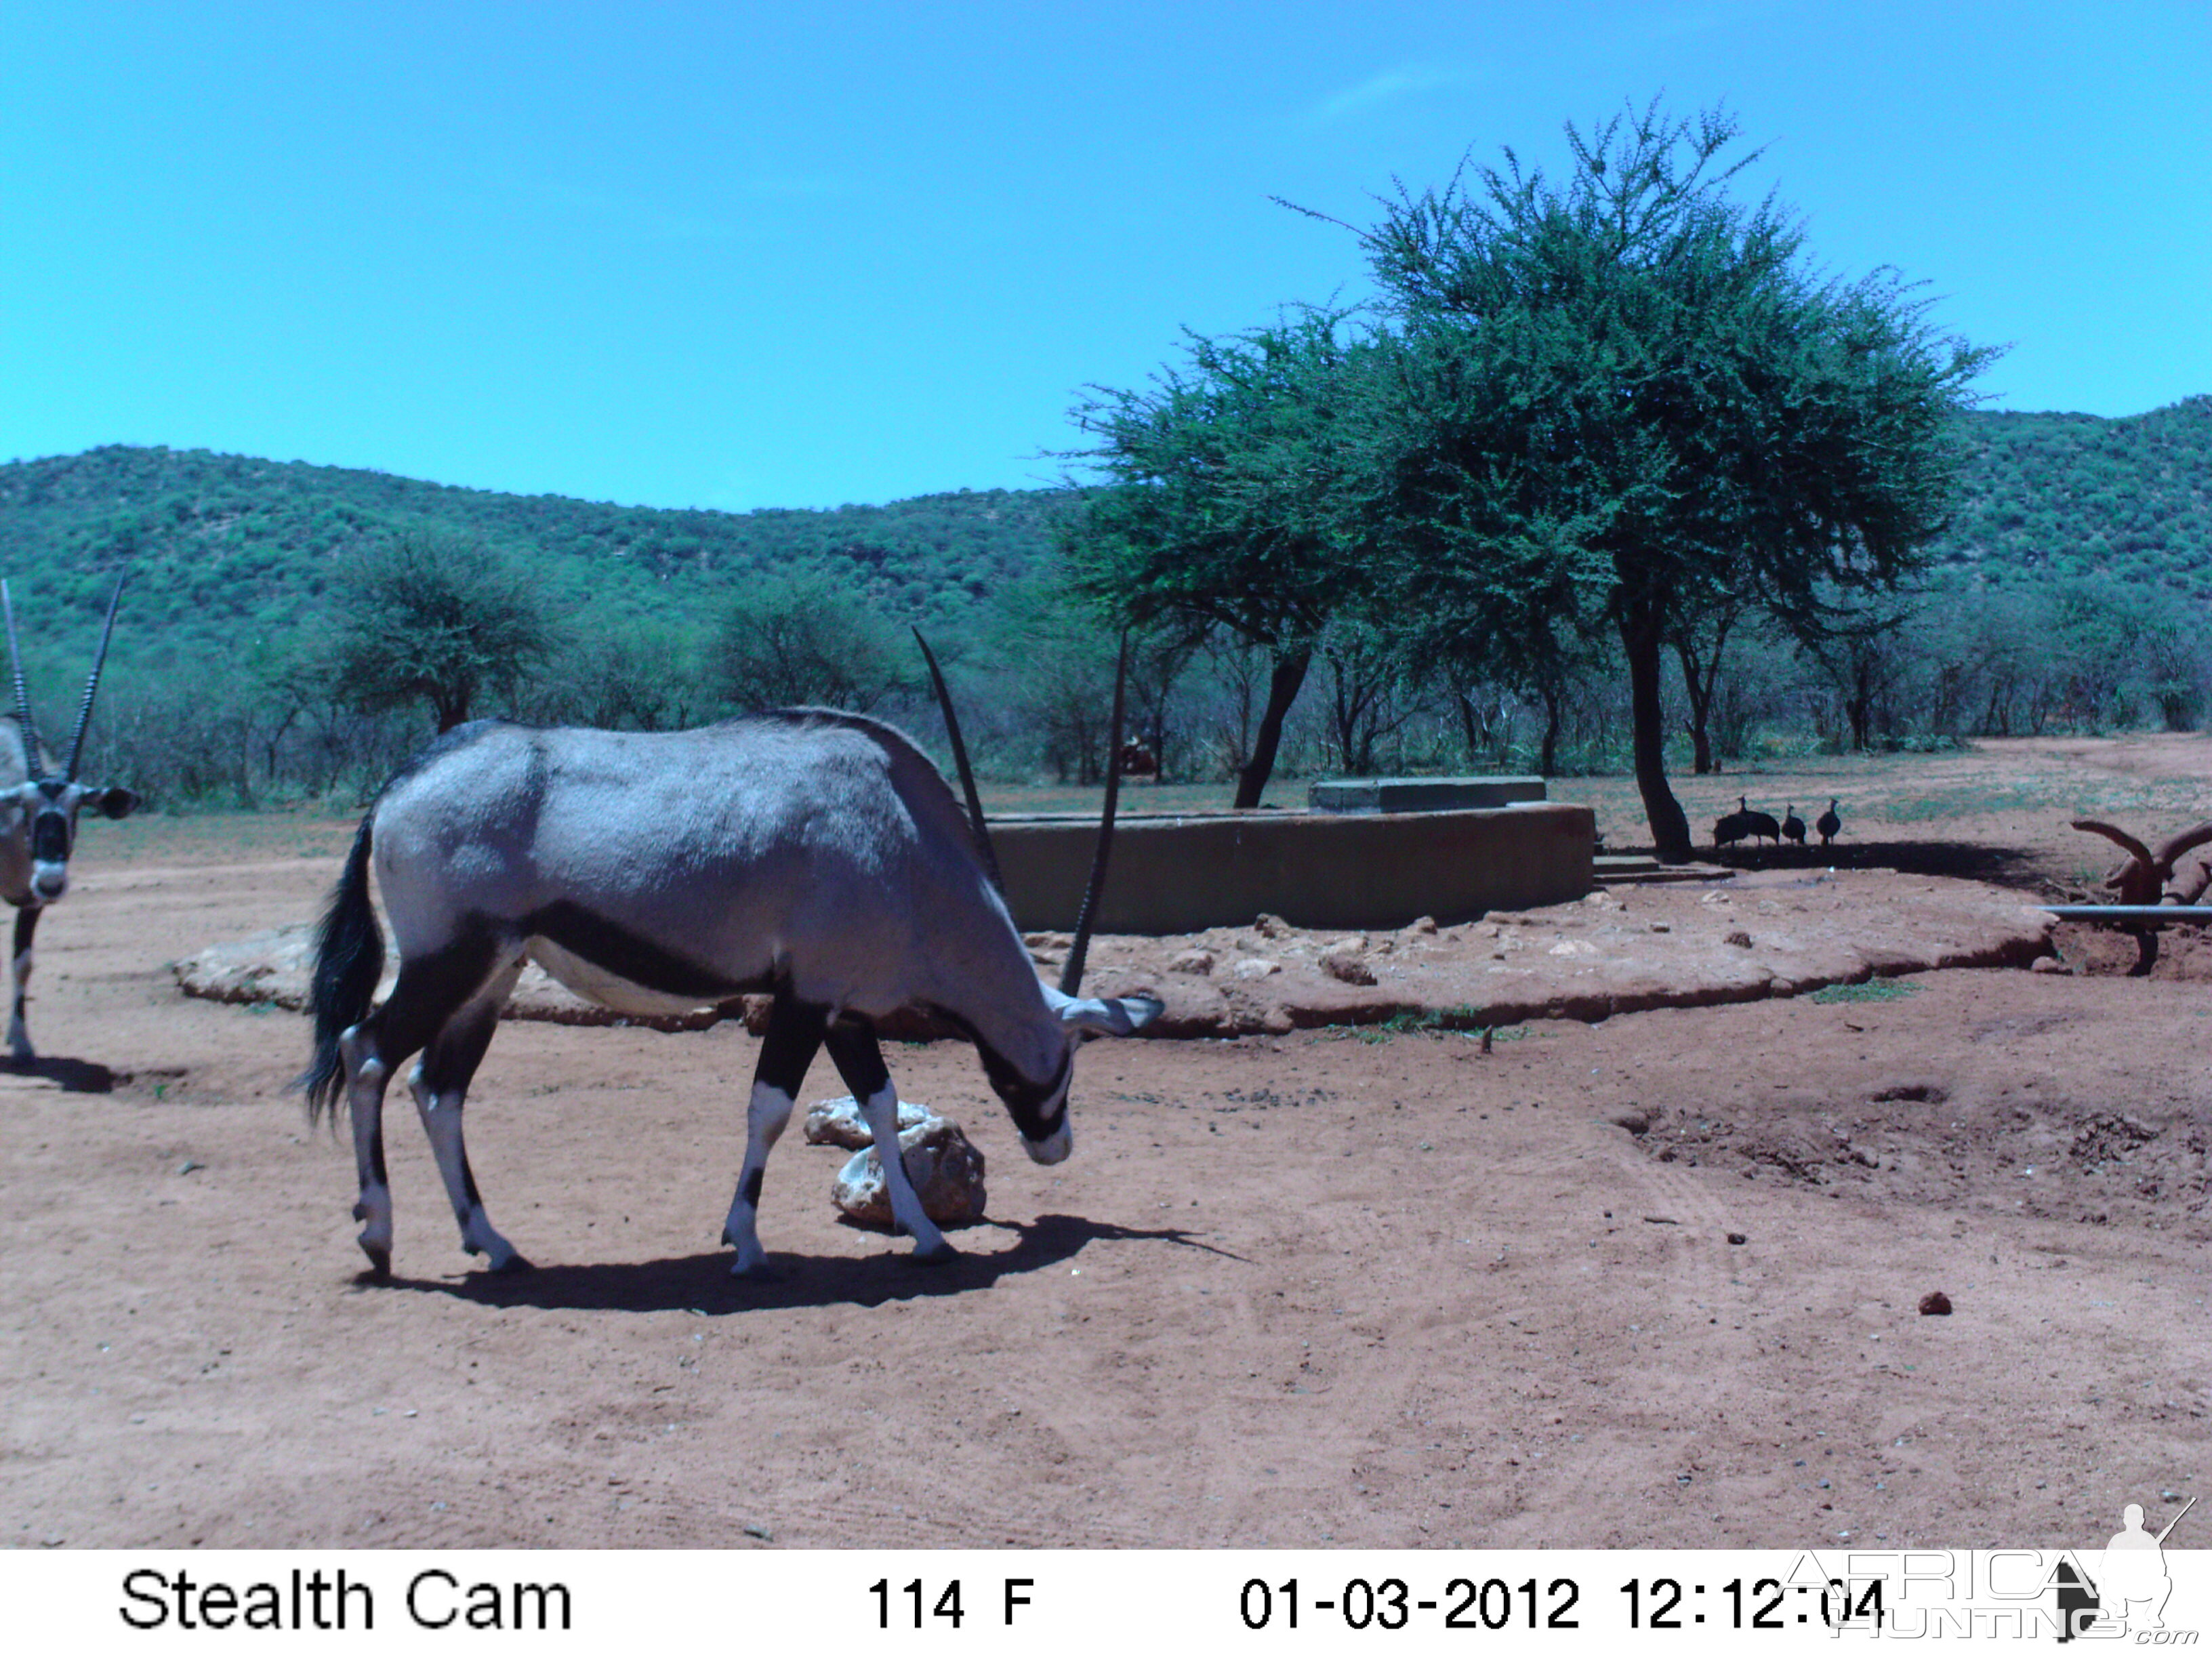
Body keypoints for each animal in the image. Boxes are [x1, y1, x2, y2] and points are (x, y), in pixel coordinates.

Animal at [2, 579, 139, 1066]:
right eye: (24, 808)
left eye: (79, 809)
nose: (51, 881)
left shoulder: (30, 903)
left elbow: (22, 963)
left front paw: (22, 1043)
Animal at [298, 641, 1159, 1283]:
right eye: (1067, 1058)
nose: (1055, 1146)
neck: (901, 833)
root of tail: (400, 785)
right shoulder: (805, 999)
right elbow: (770, 1108)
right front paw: (744, 1242)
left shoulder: (843, 1008)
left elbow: (882, 1105)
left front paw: (926, 1235)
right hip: (448, 961)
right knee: (365, 1051)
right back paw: (379, 1237)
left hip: (490, 979)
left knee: (437, 1089)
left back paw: (494, 1244)